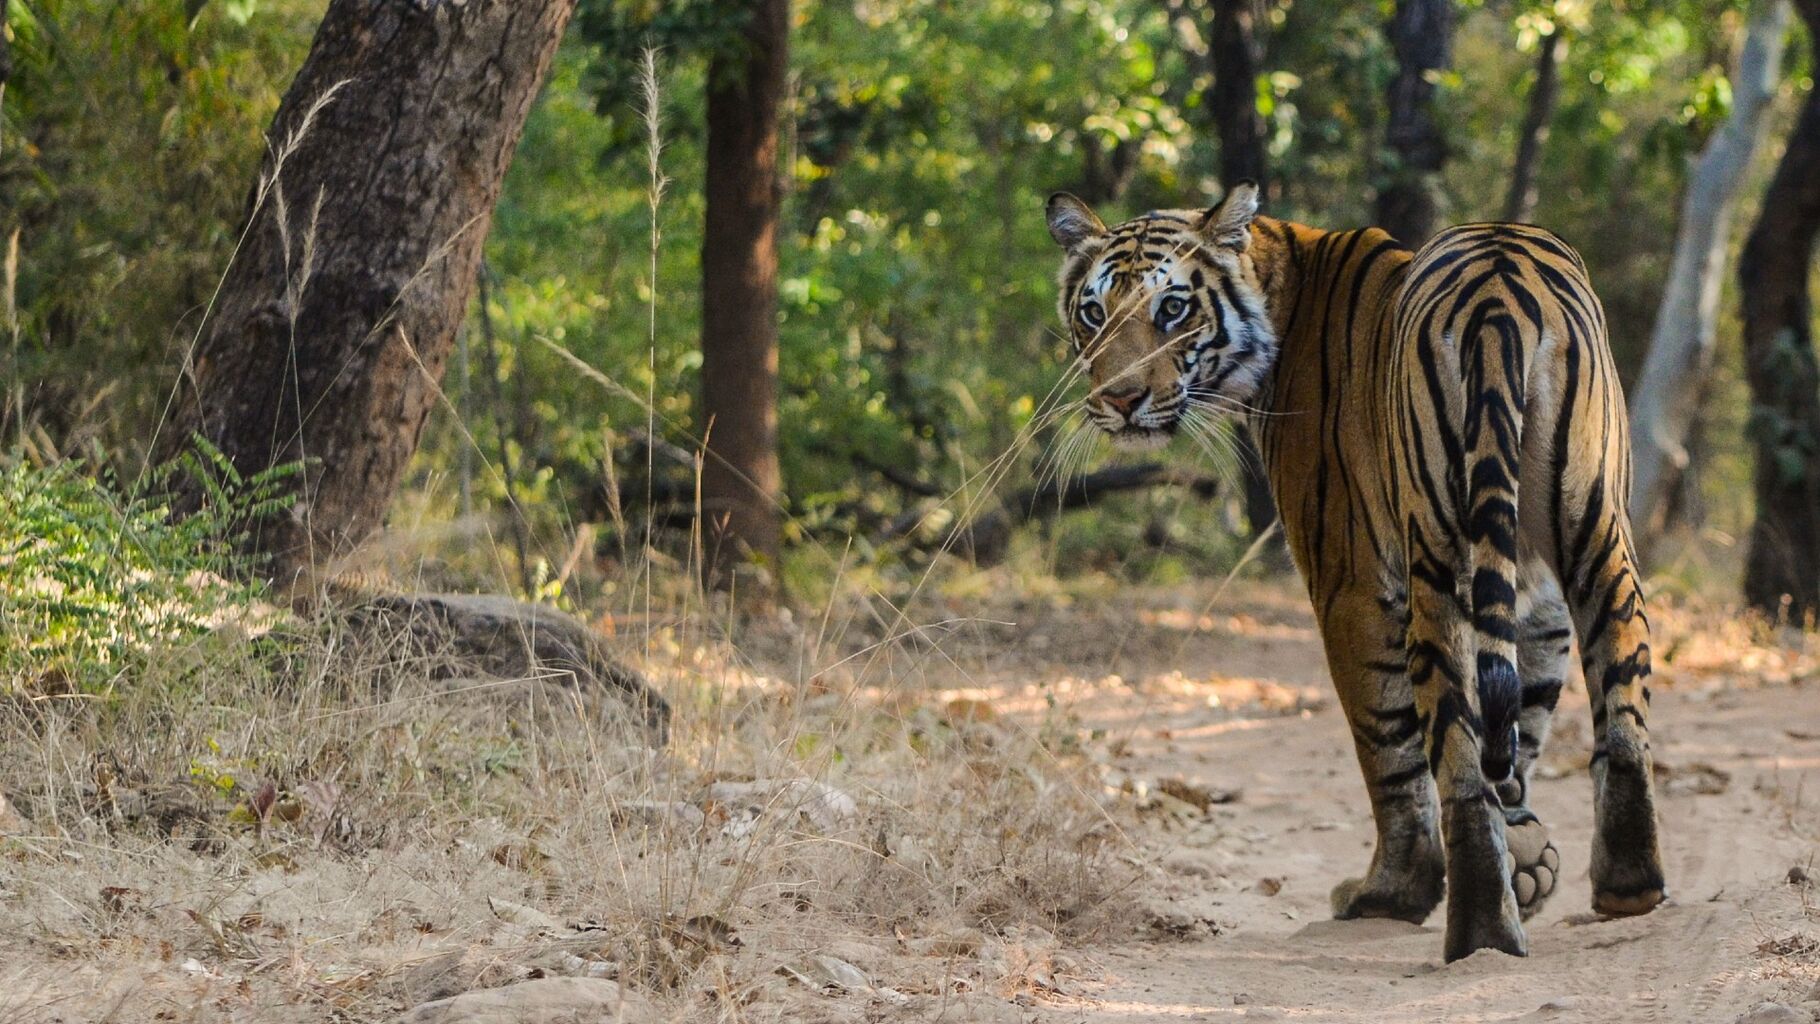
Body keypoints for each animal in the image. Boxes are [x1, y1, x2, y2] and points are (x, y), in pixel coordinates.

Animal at [1044, 182, 1666, 961]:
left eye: (1173, 309)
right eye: (1094, 313)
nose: (1120, 401)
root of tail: (1497, 291)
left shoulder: (1349, 579)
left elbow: (1389, 748)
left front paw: (1395, 893)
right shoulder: (1539, 591)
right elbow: (1523, 726)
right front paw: (1529, 859)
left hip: (1440, 552)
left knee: (1455, 753)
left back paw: (1480, 931)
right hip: (1596, 531)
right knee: (1620, 710)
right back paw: (1627, 886)